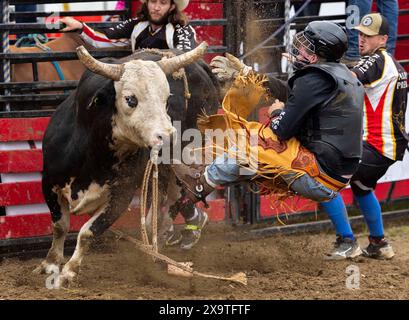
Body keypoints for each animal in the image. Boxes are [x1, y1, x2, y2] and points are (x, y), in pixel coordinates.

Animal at [34, 42, 220, 288]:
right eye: (131, 99)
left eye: (166, 99)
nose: (169, 138)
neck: (94, 155)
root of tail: (201, 66)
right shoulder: (49, 182)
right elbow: (59, 226)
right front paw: (51, 264)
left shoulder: (121, 196)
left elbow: (88, 232)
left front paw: (69, 272)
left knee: (173, 200)